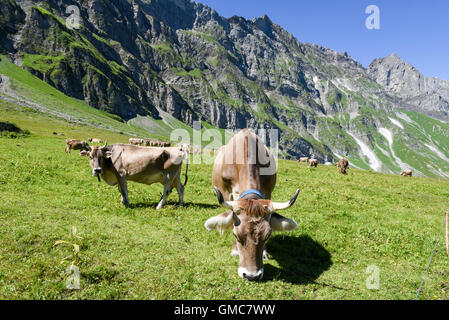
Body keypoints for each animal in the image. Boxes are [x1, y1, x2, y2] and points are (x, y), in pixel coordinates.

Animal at [205, 129, 300, 282]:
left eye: (268, 236)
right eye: (236, 235)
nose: (251, 275)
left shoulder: (267, 193)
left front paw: (265, 253)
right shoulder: (227, 192)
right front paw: (234, 250)